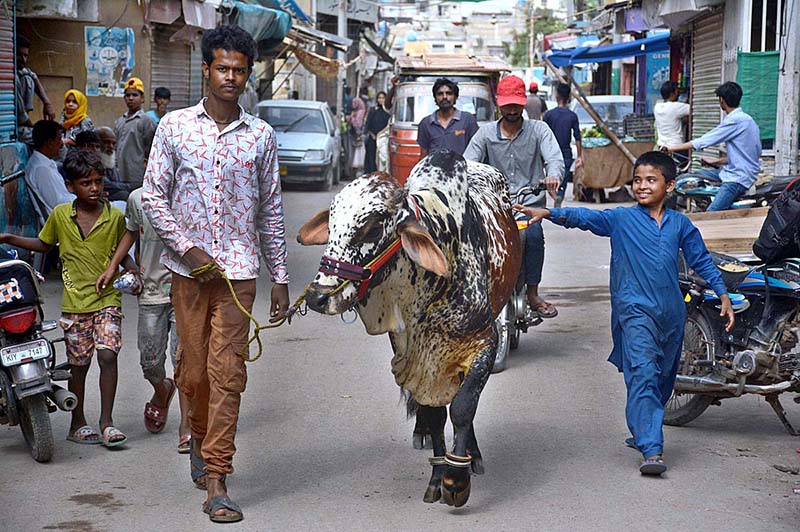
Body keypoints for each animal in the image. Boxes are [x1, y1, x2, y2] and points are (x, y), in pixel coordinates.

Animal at [296, 151, 520, 508]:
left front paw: (457, 478)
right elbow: (435, 414)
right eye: (331, 224)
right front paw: (438, 476)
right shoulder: (413, 357)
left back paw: (472, 454)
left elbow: (463, 407)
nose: (318, 296)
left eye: (373, 227)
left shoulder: (484, 343)